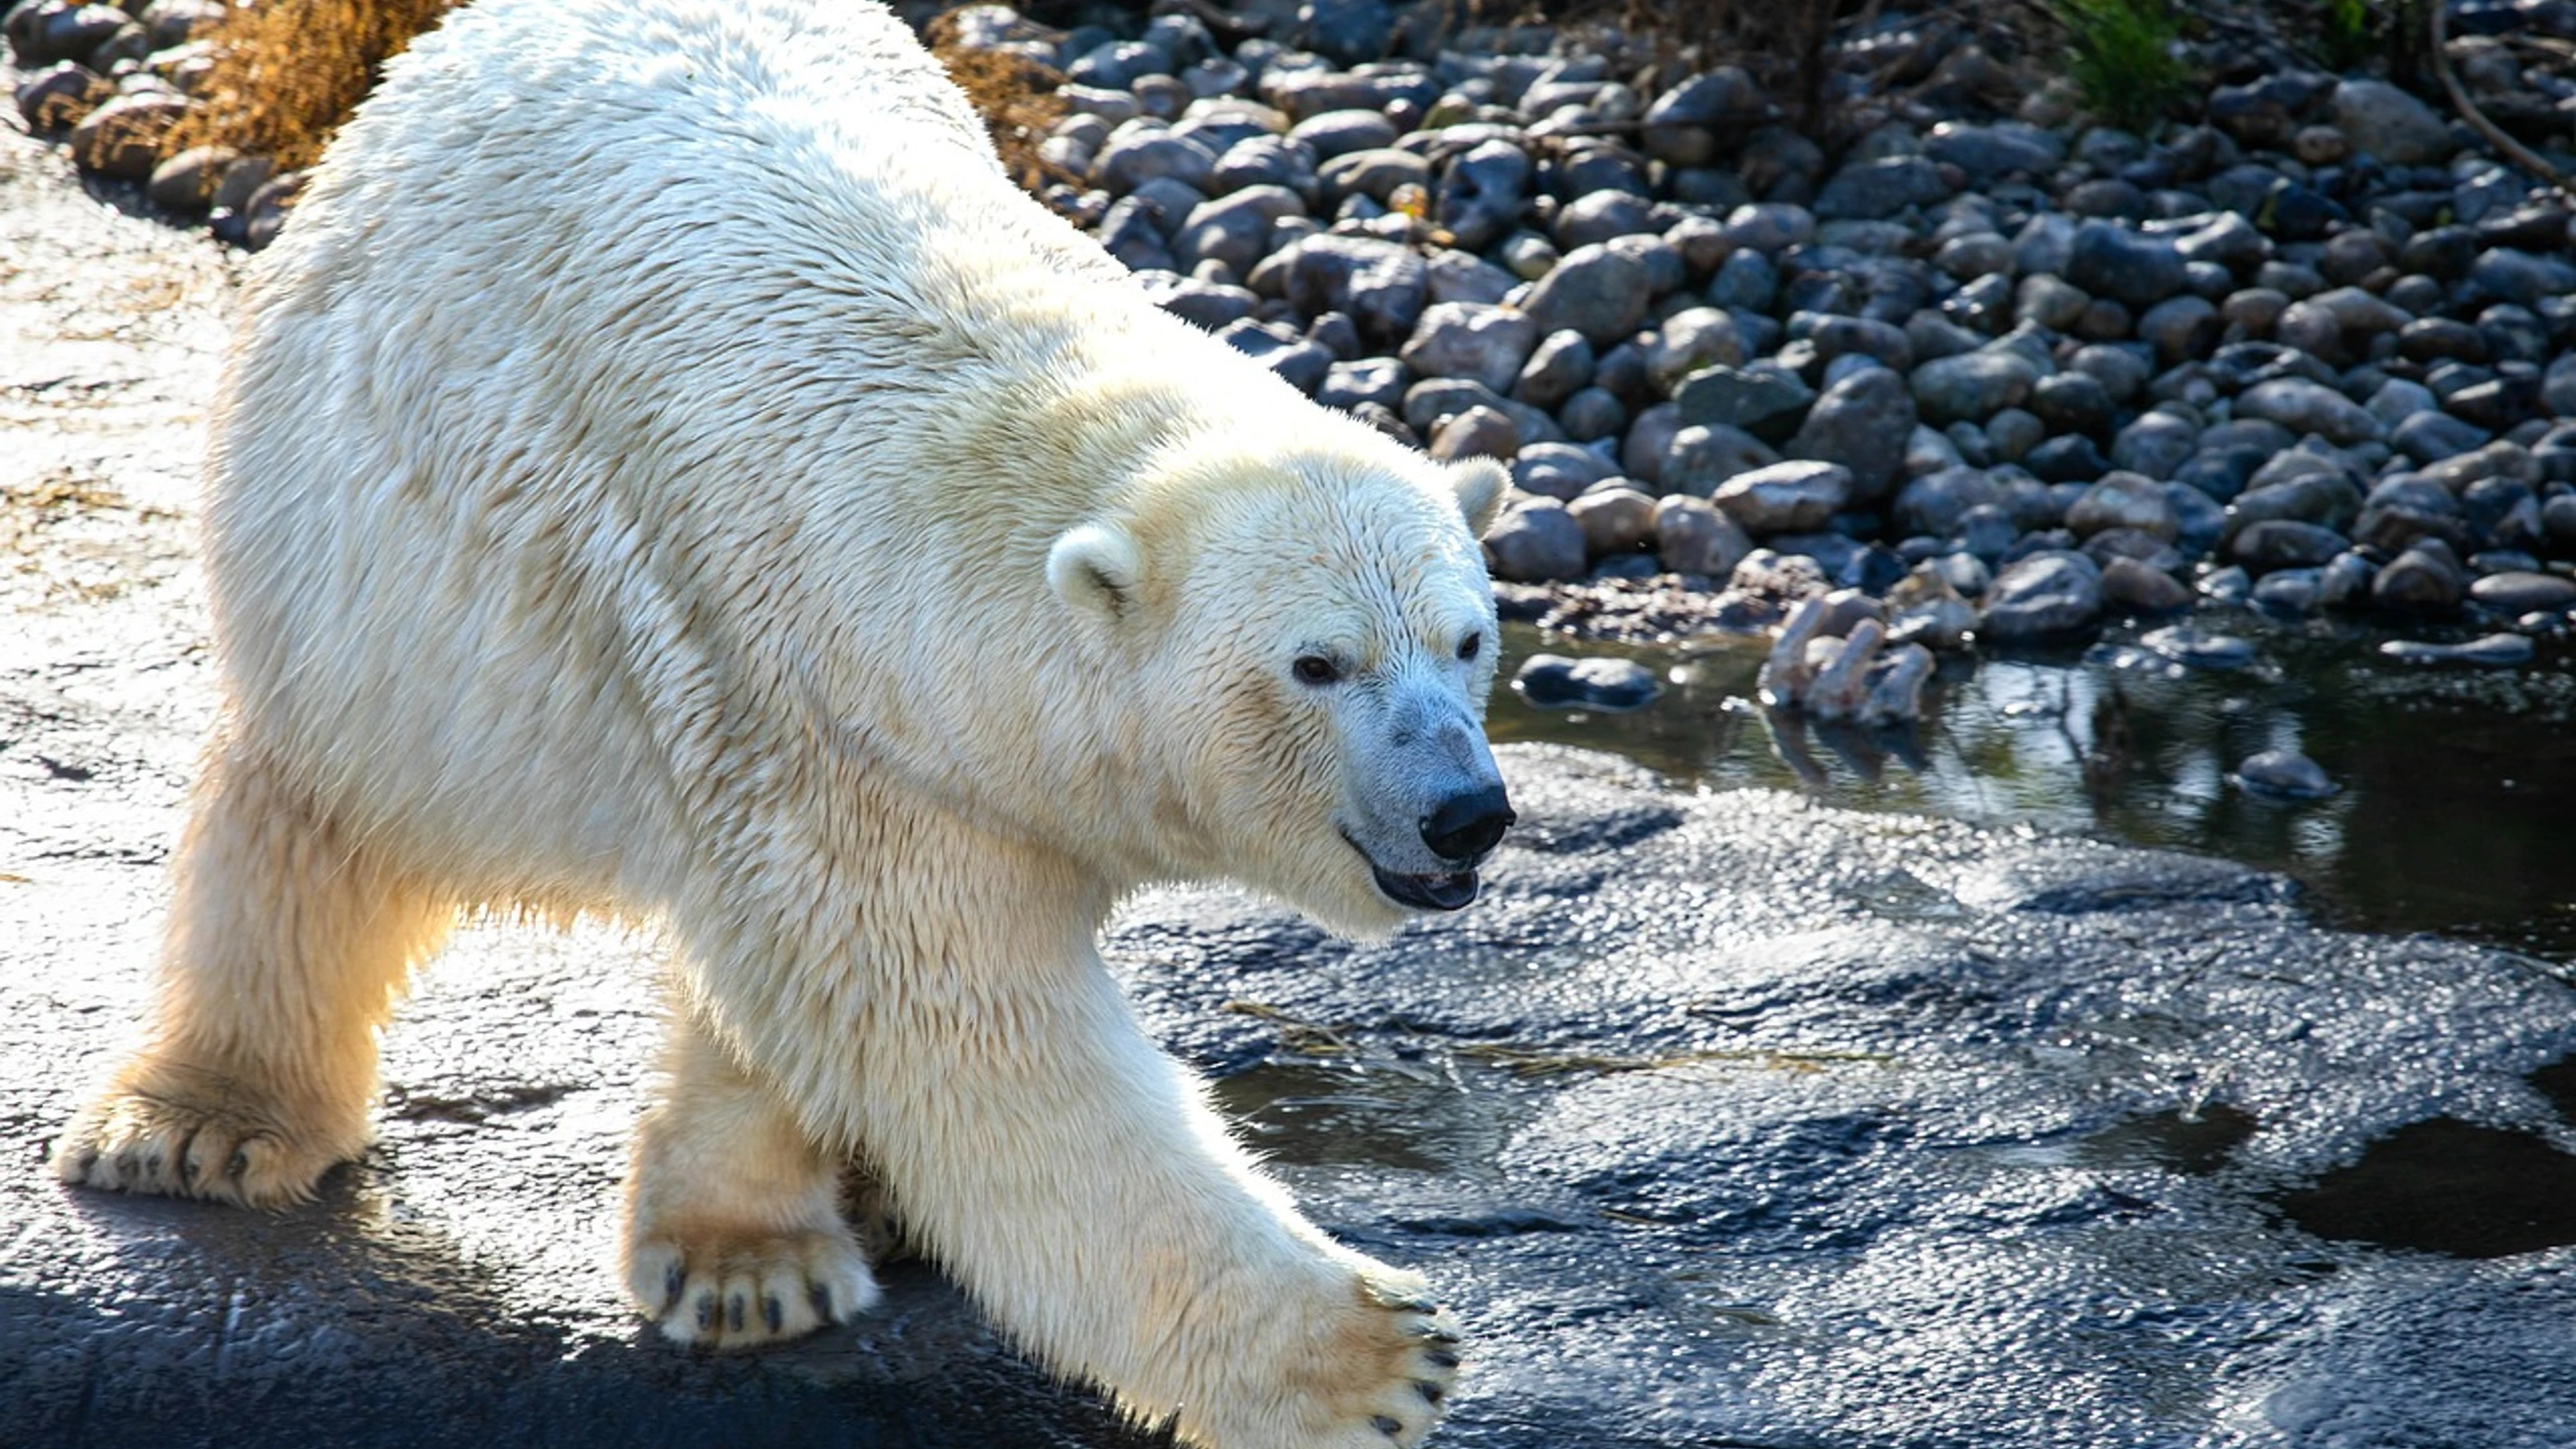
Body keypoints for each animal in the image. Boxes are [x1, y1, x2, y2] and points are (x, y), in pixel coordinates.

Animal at [45, 1, 1517, 1445]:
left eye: (1468, 639)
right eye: (1317, 664)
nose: (1469, 811)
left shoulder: (849, 747)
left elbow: (810, 996)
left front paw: (754, 1258)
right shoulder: (813, 710)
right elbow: (981, 1047)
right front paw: (1378, 1360)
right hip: (363, 559)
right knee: (321, 808)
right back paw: (198, 1126)